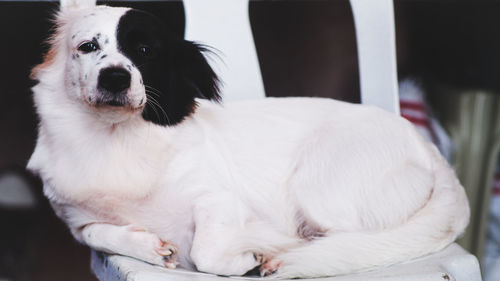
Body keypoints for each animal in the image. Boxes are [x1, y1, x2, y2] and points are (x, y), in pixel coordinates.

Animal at [27, 0, 470, 276]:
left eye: (145, 51)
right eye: (88, 47)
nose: (115, 77)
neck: (115, 138)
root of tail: (429, 150)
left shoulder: (218, 198)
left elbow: (205, 252)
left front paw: (245, 260)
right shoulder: (78, 224)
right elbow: (99, 232)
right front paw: (149, 245)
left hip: (317, 187)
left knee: (352, 241)